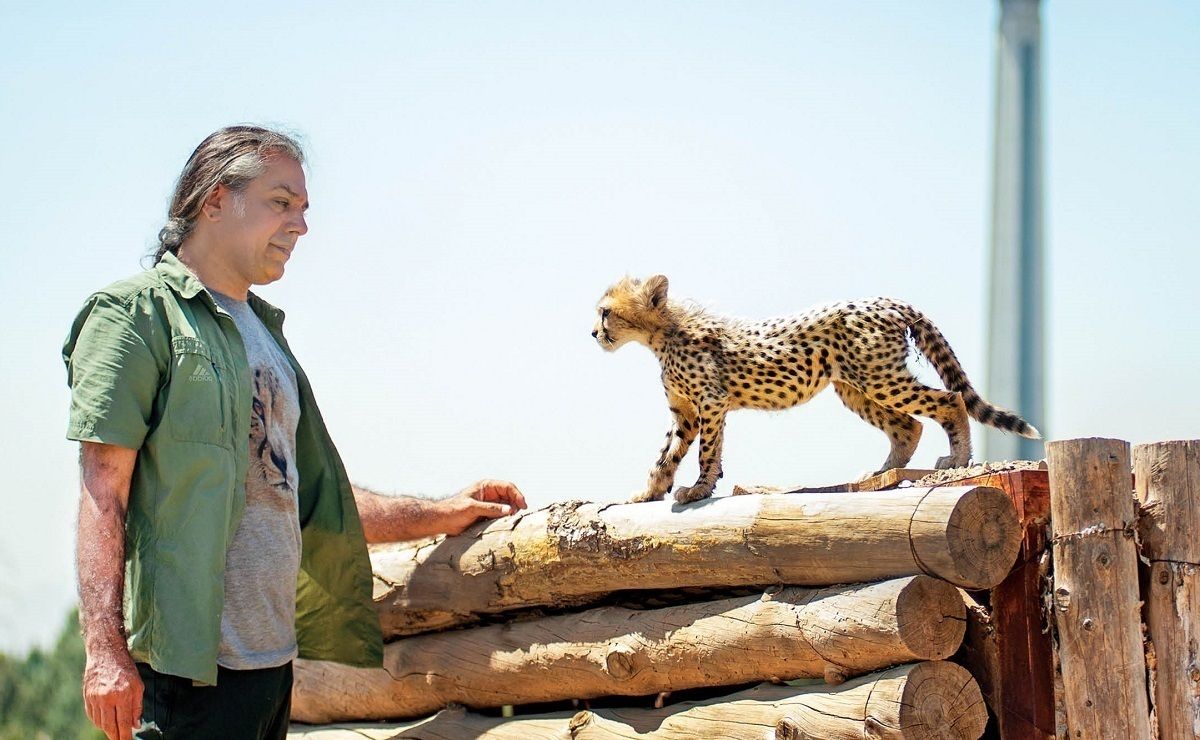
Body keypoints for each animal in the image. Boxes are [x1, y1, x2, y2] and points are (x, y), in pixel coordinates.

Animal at [592, 274, 1040, 505]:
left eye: (605, 312)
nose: (593, 332)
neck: (662, 333)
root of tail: (886, 300)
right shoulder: (684, 412)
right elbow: (666, 455)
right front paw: (650, 490)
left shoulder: (711, 403)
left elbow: (707, 451)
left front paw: (699, 488)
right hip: (855, 386)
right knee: (907, 426)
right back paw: (880, 473)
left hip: (879, 378)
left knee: (948, 400)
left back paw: (958, 459)